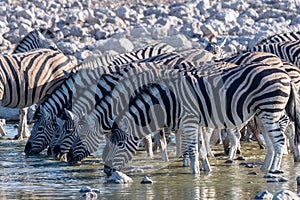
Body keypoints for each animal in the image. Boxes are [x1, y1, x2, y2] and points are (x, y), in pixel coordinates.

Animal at [99, 62, 300, 175]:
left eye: (120, 145)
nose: (107, 170)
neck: (168, 101)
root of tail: (286, 75)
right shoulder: (194, 123)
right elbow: (200, 146)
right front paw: (205, 169)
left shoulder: (189, 121)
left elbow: (192, 148)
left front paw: (194, 174)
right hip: (263, 113)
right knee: (273, 142)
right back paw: (266, 167)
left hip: (270, 109)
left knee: (280, 140)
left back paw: (273, 170)